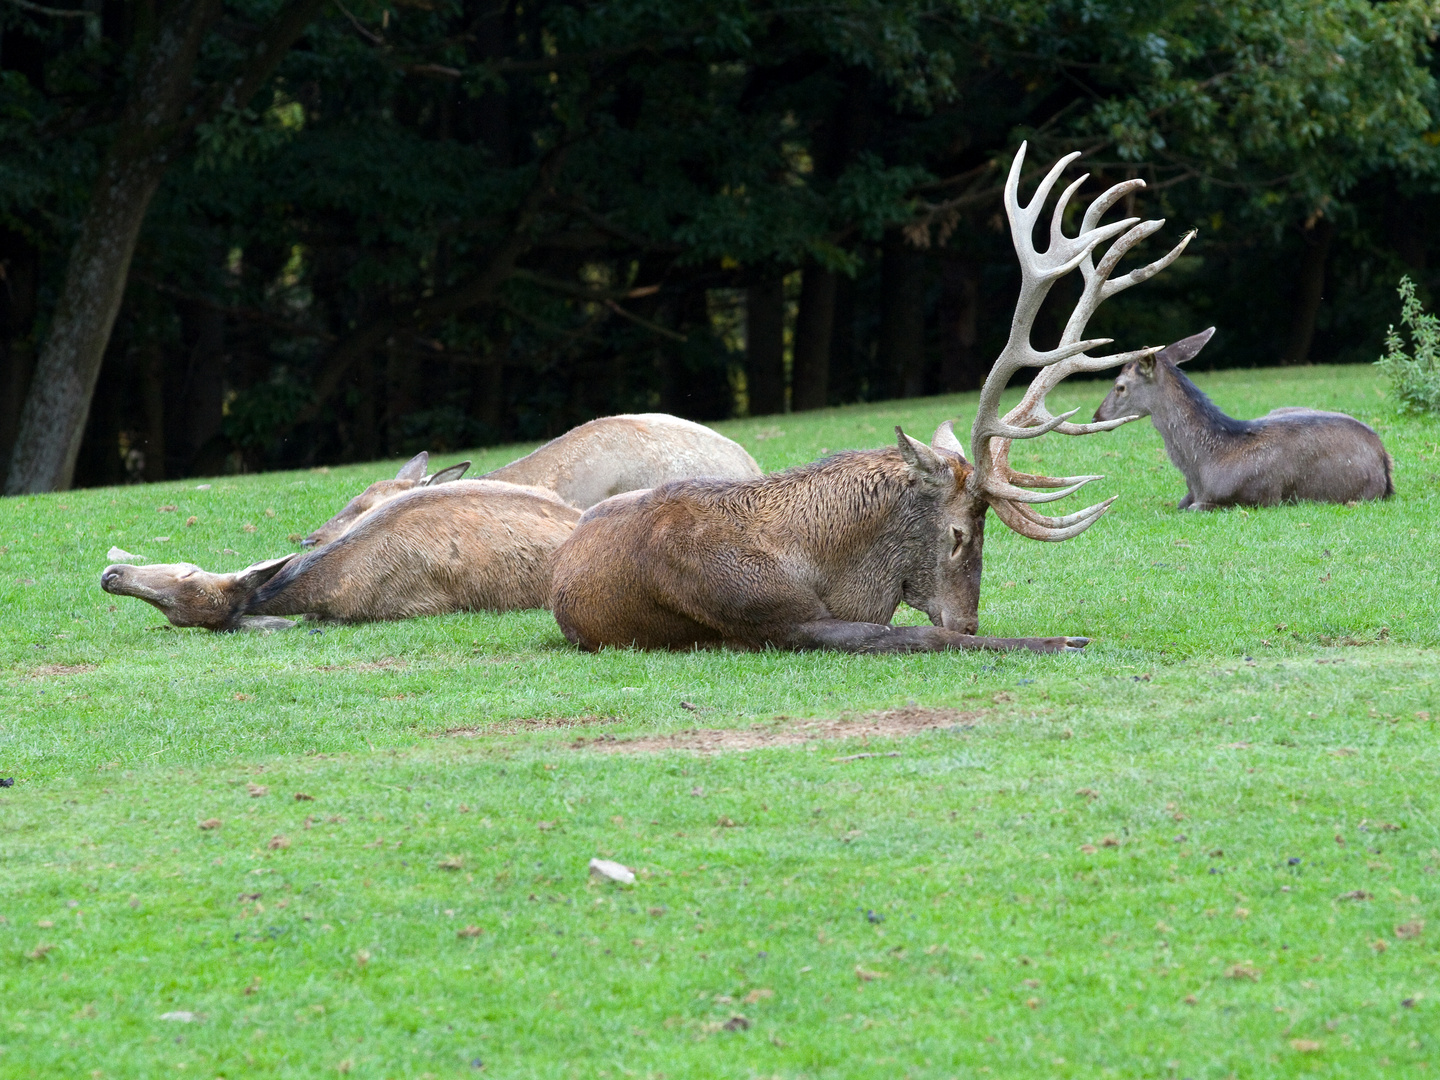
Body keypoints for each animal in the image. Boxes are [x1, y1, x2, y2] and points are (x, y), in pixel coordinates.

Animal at [550, 146, 1192, 656]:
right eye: (957, 534)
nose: (969, 618)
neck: (820, 567)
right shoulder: (767, 619)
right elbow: (916, 634)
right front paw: (1061, 640)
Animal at [1094, 329, 1388, 512]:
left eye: (1119, 386)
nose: (1097, 415)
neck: (1203, 469)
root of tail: (1385, 459)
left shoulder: (1258, 497)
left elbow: (1194, 508)